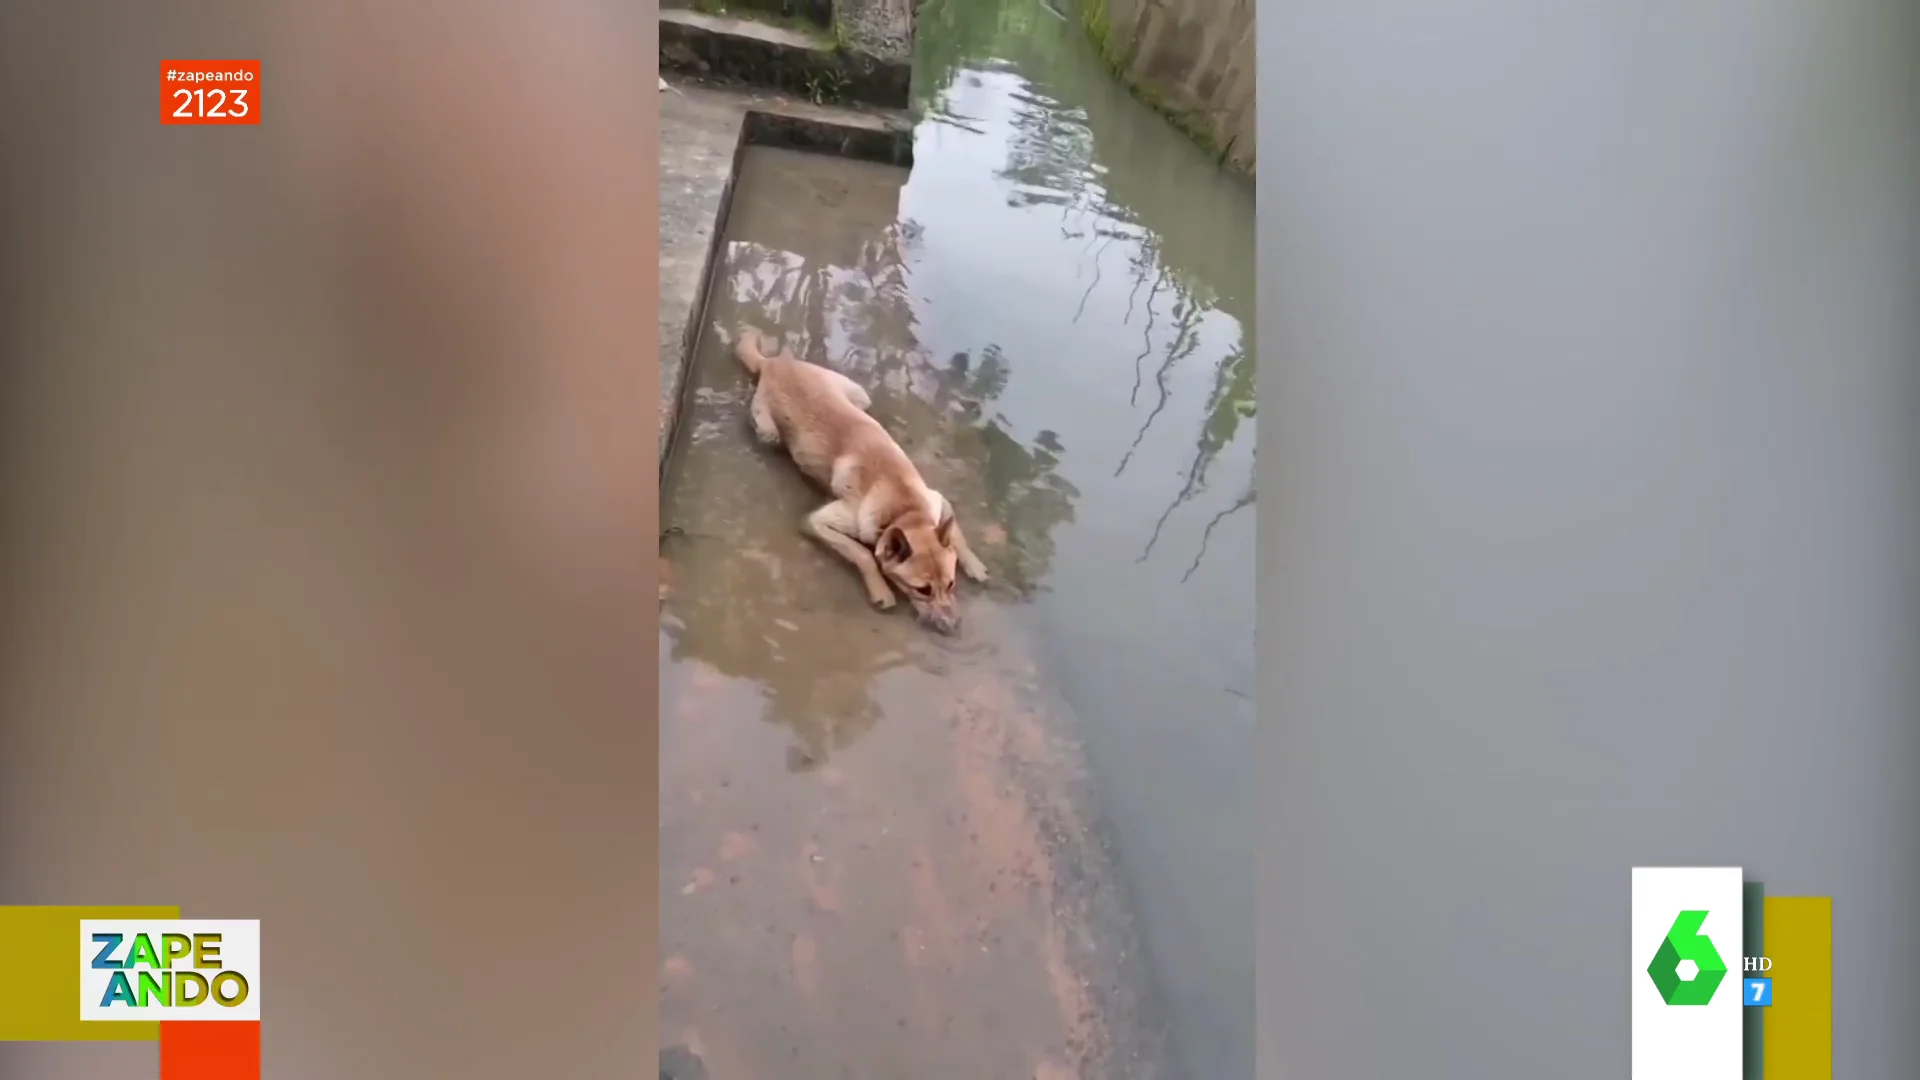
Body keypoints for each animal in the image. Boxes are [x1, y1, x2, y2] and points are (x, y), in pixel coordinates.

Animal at [725, 326, 983, 630]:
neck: (904, 508)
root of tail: (774, 363)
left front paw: (974, 563)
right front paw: (881, 589)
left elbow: (957, 532)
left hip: (859, 395)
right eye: (922, 590)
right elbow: (863, 554)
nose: (953, 626)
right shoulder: (816, 522)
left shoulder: (935, 498)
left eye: (951, 584)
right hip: (770, 433)